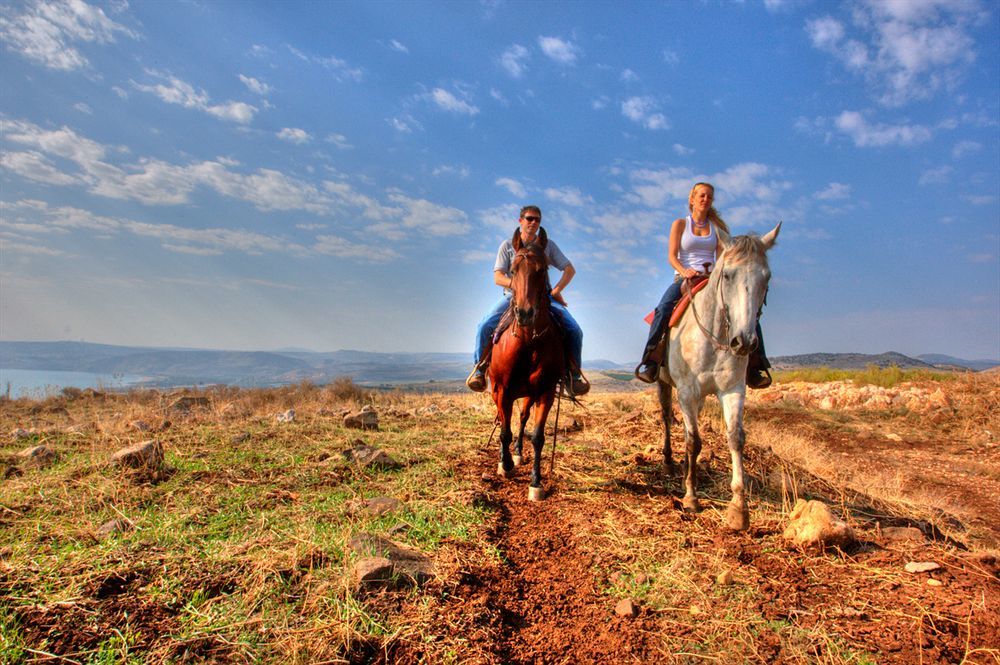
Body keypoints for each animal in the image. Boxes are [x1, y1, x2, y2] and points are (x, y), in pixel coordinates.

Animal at [490, 227, 568, 498]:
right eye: (513, 270)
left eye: (542, 270)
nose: (524, 313)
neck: (528, 343)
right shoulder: (503, 390)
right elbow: (504, 430)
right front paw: (505, 465)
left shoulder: (545, 393)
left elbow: (537, 437)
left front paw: (536, 481)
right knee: (504, 420)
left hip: (527, 395)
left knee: (523, 418)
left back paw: (518, 452)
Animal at [656, 223, 780, 528]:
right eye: (727, 274)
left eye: (766, 277)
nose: (744, 341)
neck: (715, 336)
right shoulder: (686, 391)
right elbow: (693, 441)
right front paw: (691, 497)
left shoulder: (732, 389)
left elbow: (735, 438)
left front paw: (739, 508)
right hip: (665, 384)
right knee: (666, 418)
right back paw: (668, 462)